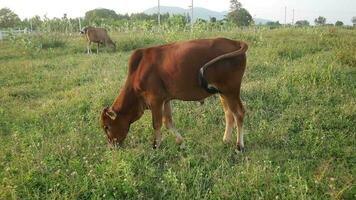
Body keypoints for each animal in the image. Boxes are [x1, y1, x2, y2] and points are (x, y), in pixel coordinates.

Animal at [100, 37, 249, 152]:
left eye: (106, 126)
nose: (112, 146)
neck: (137, 72)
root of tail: (235, 42)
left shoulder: (155, 100)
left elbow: (156, 124)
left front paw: (156, 146)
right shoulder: (166, 100)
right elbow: (168, 122)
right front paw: (181, 142)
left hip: (231, 90)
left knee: (238, 113)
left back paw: (239, 146)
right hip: (222, 93)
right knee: (229, 114)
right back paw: (226, 140)